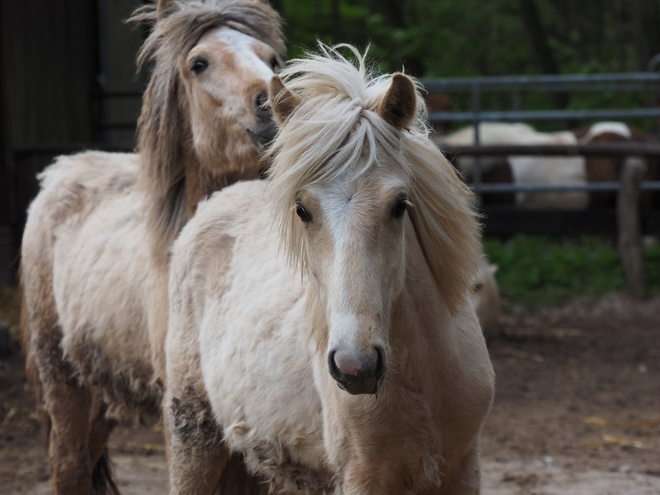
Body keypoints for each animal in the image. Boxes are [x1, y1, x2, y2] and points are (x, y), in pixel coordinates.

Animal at [20, 1, 284, 494]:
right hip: (61, 376)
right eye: (198, 63)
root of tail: (58, 171)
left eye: (272, 58)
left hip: (102, 390)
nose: (272, 100)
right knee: (67, 466)